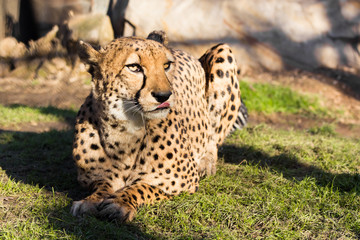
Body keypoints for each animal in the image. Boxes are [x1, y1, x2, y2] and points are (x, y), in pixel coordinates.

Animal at [71, 31, 249, 222]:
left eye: (166, 65)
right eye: (134, 67)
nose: (164, 95)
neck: (126, 131)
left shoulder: (184, 181)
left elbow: (142, 187)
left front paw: (120, 203)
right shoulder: (91, 178)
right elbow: (101, 185)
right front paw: (90, 201)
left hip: (222, 52)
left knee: (214, 137)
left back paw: (206, 163)